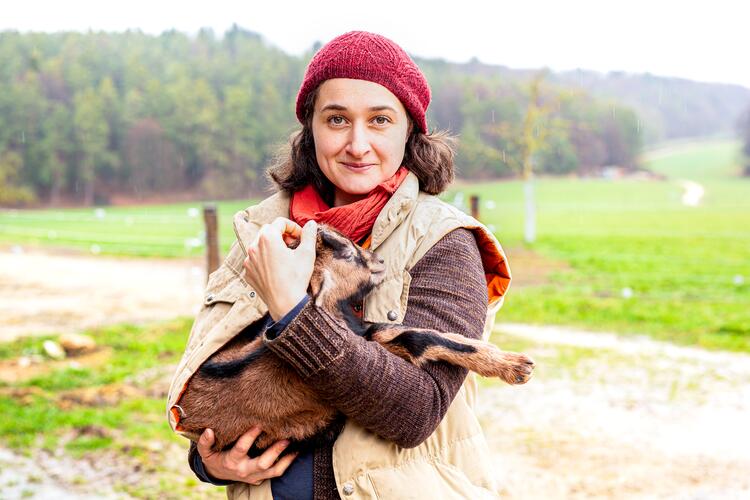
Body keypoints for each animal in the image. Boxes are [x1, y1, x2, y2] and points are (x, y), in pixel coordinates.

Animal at [172, 227, 536, 454]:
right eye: (347, 254)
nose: (379, 259)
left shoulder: (367, 334)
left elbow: (413, 334)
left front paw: (509, 364)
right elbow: (420, 338)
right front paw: (517, 368)